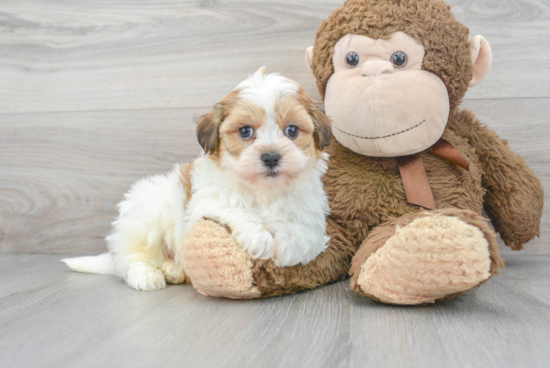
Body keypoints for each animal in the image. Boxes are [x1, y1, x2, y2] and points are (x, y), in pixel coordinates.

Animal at [63, 68, 334, 290]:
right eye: (245, 131)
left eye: (292, 130)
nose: (270, 157)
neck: (265, 192)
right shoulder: (204, 202)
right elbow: (236, 209)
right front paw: (260, 238)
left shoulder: (312, 212)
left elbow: (308, 233)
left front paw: (288, 246)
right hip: (145, 220)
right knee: (131, 259)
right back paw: (147, 275)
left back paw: (173, 270)